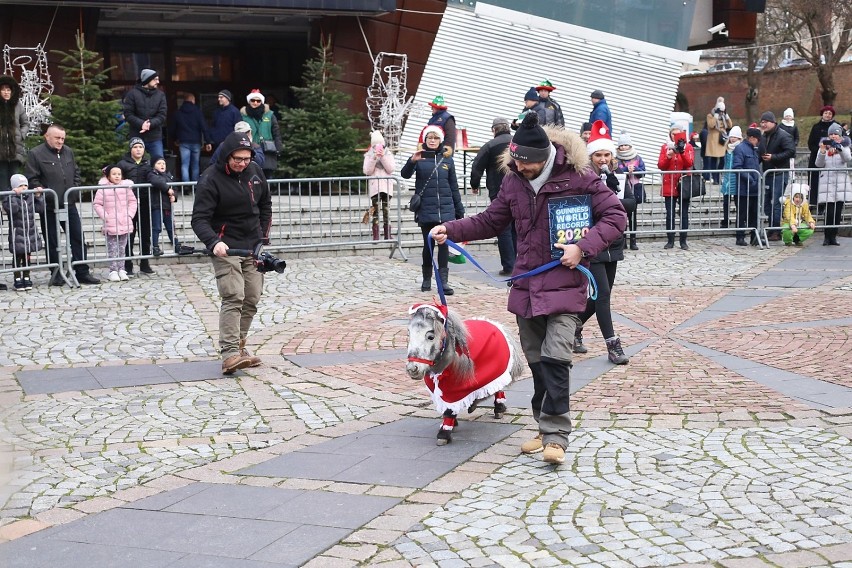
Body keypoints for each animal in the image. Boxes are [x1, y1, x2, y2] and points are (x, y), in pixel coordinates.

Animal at [408, 304, 524, 446]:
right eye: (409, 333)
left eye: (430, 336)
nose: (412, 369)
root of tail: (494, 323)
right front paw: (452, 423)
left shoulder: (454, 391)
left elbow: (449, 410)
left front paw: (444, 433)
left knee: (498, 388)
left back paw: (499, 408)